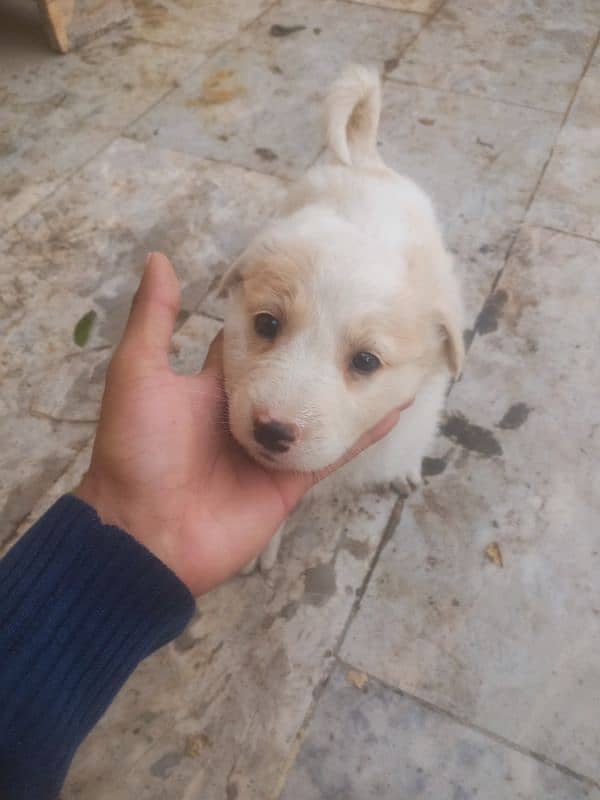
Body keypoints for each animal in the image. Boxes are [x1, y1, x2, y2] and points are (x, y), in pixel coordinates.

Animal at [218, 65, 462, 572]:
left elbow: (408, 440)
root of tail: (364, 160)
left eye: (366, 362)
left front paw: (404, 469)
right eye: (266, 325)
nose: (271, 429)